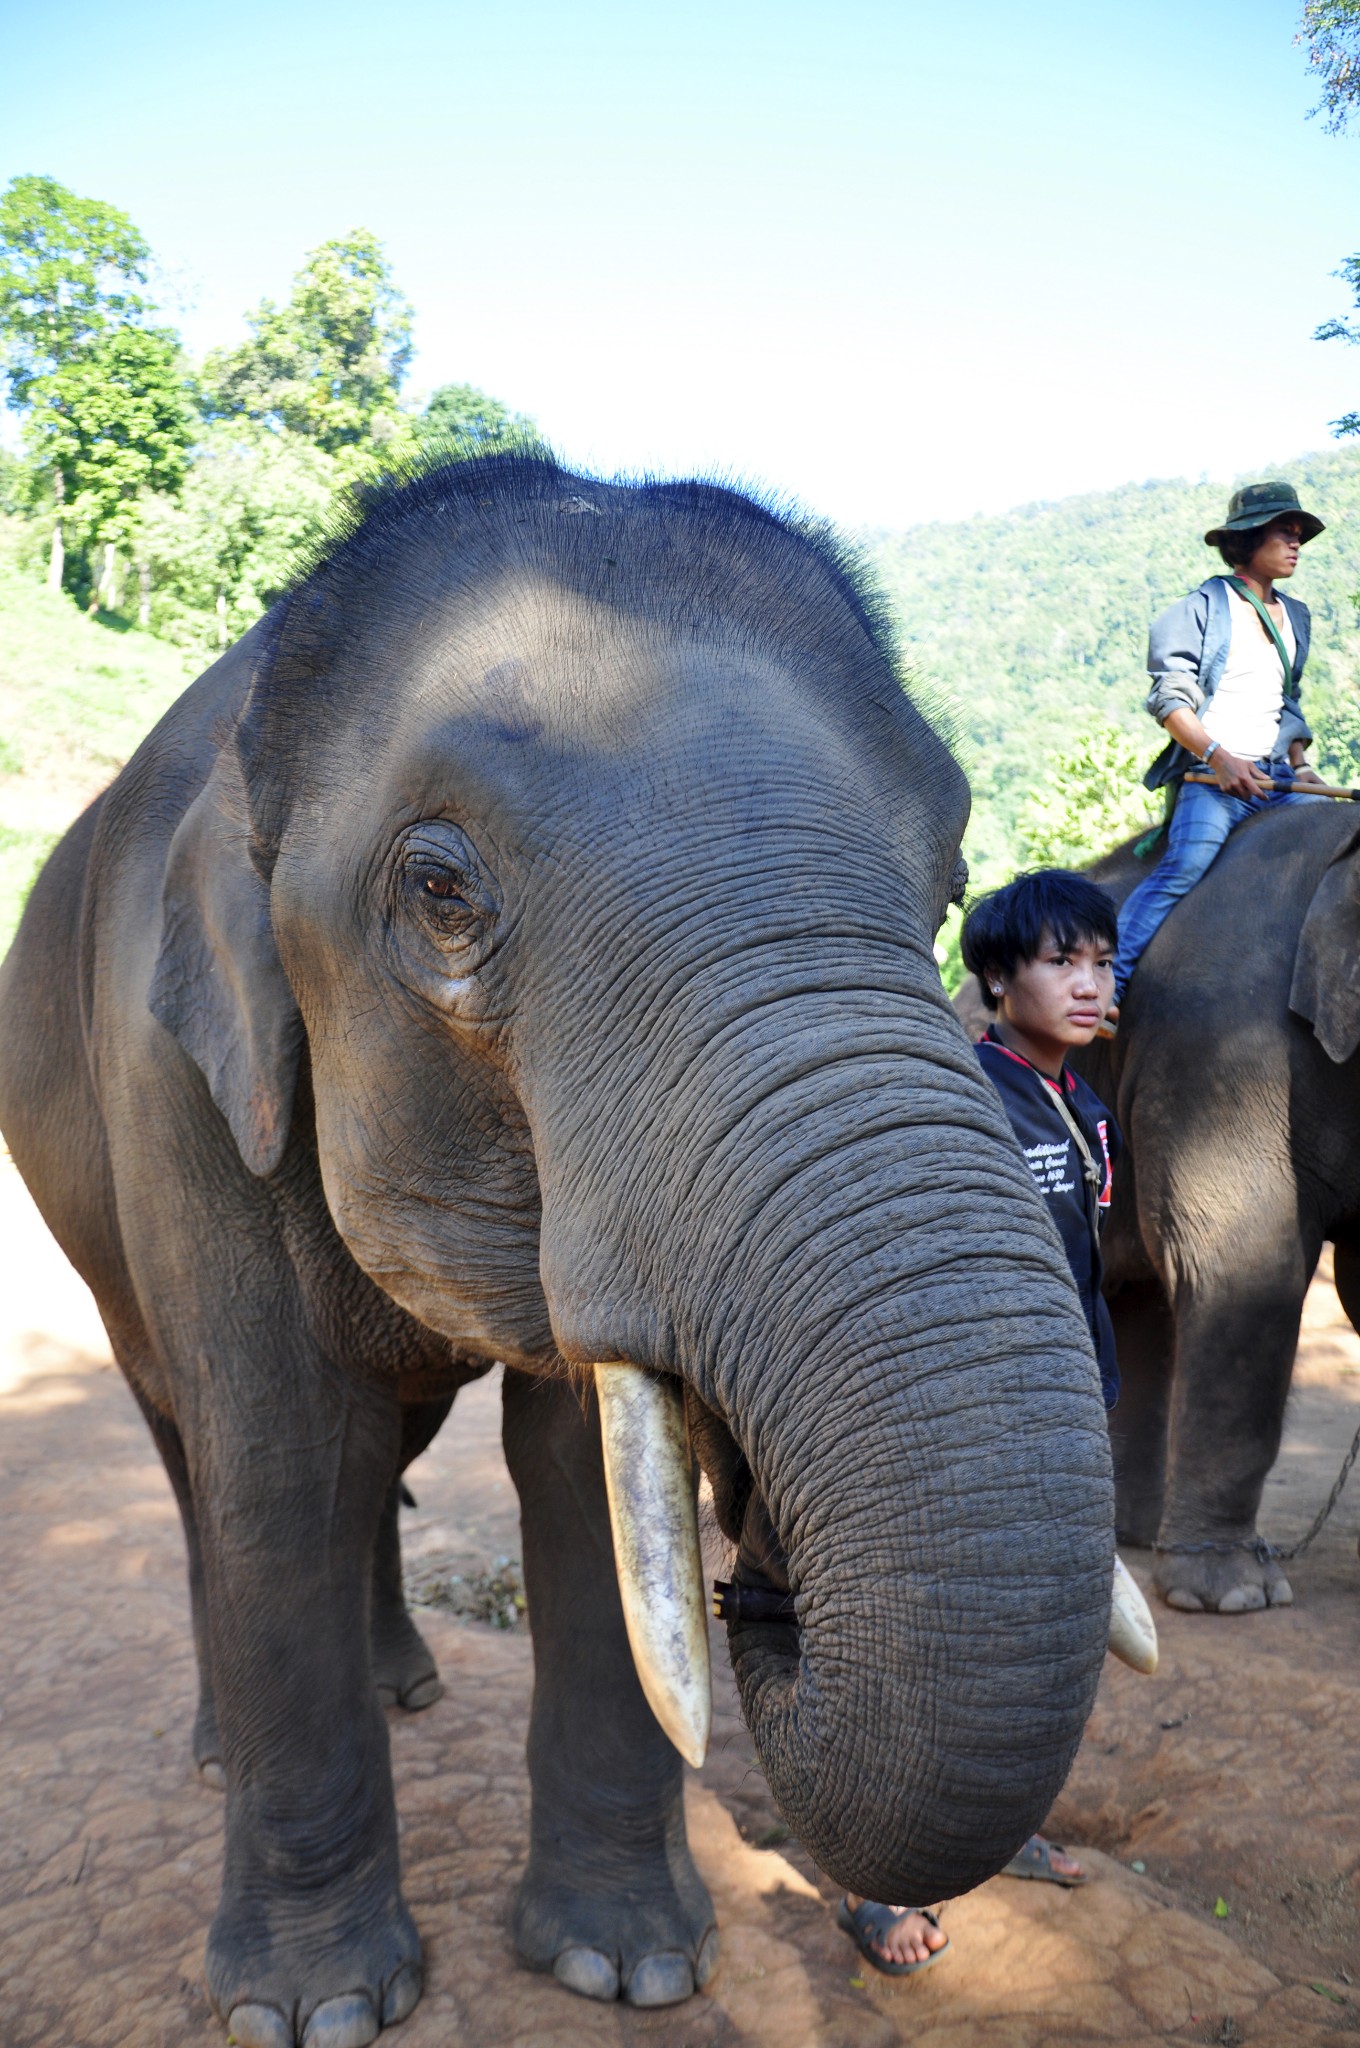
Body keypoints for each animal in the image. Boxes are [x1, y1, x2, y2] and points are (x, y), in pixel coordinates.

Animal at [0, 460, 1114, 2048]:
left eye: (955, 883)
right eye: (442, 897)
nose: (761, 1585)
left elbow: (576, 1475)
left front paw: (625, 1970)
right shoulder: (171, 1083)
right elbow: (276, 1452)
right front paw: (315, 2011)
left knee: (381, 1455)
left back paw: (404, 1684)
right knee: (210, 1450)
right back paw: (226, 1745)